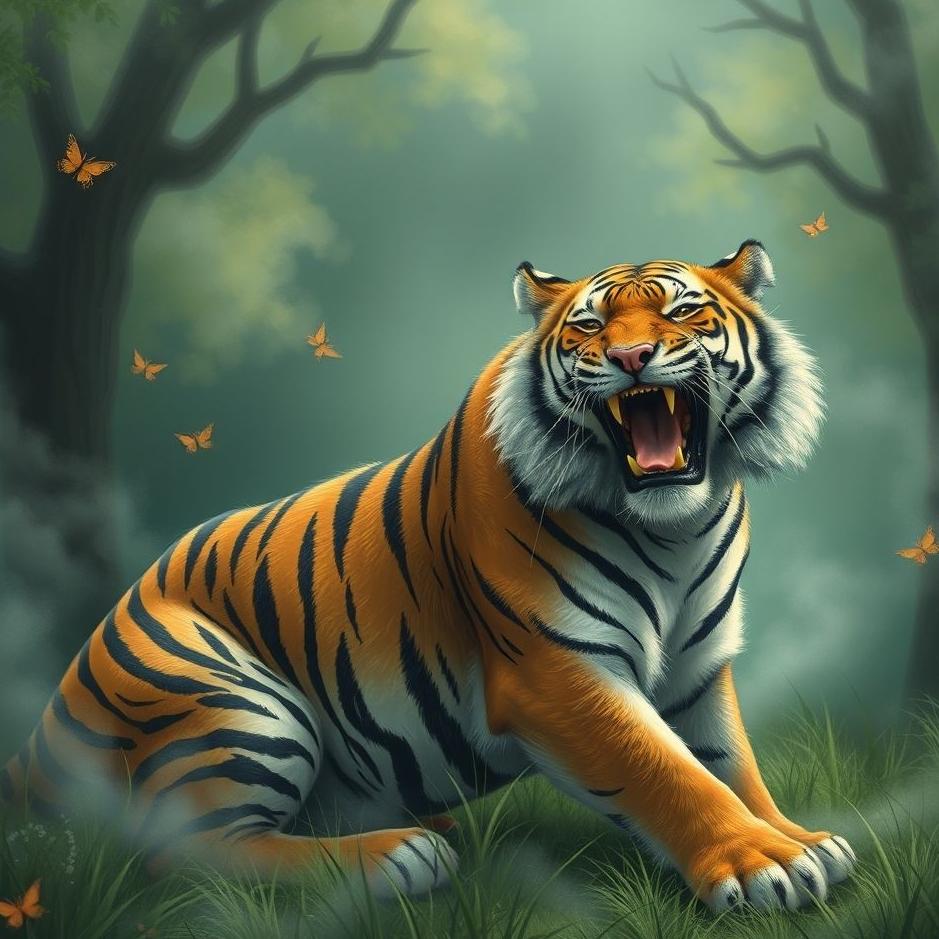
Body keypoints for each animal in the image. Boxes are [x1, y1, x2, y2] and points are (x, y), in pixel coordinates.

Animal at [1, 240, 856, 912]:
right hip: (234, 700)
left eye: (682, 312)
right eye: (589, 326)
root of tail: (47, 720)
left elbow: (729, 765)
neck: (673, 526)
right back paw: (397, 854)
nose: (629, 357)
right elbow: (666, 771)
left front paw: (800, 838)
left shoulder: (694, 670)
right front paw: (763, 862)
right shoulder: (556, 669)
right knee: (181, 850)